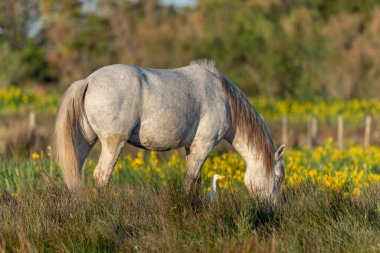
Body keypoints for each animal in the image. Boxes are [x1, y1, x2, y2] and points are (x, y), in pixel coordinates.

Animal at [54, 59, 284, 200]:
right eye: (279, 177)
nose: (272, 209)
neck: (224, 99)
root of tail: (88, 81)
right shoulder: (204, 145)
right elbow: (190, 179)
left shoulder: (192, 147)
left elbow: (196, 179)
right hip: (113, 142)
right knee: (102, 175)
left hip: (86, 141)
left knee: (75, 171)